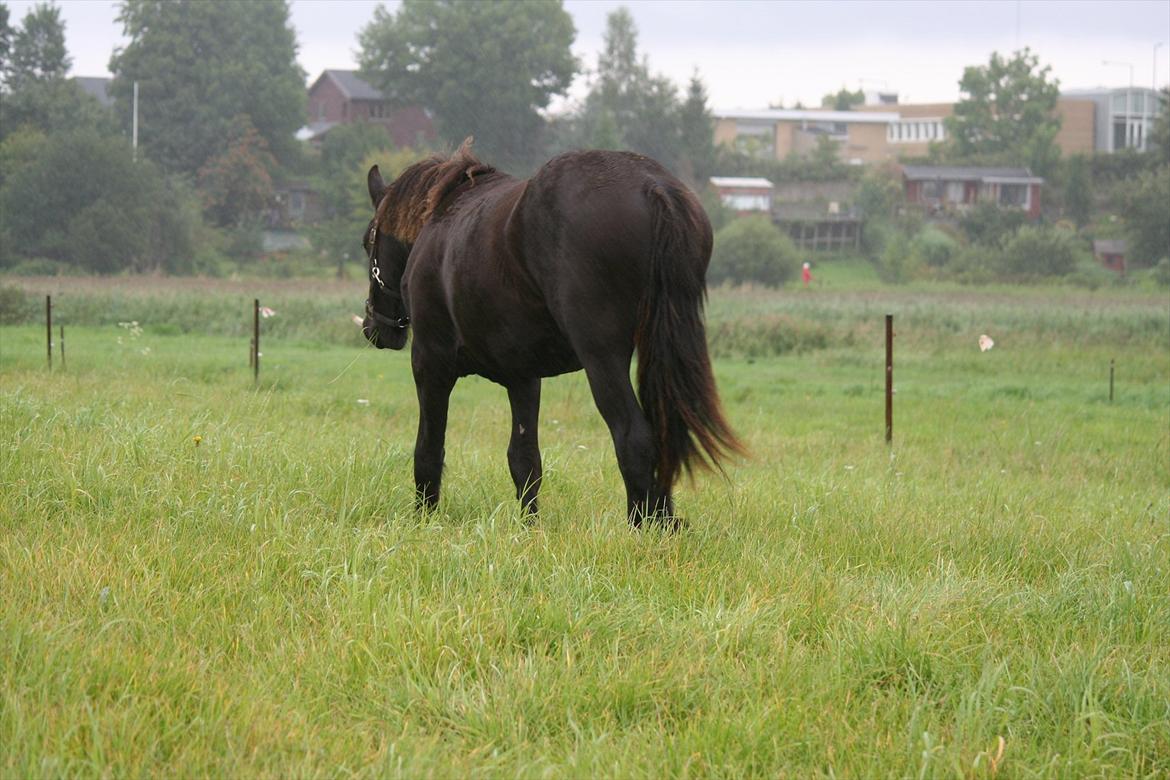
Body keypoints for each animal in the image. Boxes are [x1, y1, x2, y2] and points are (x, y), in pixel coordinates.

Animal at [360, 142, 739, 528]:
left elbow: (428, 449)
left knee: (633, 435)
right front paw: (529, 526)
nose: (374, 327)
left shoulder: (430, 362)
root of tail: (654, 187)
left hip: (602, 359)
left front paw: (425, 518)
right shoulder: (523, 377)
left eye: (367, 241)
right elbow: (524, 459)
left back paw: (643, 526)